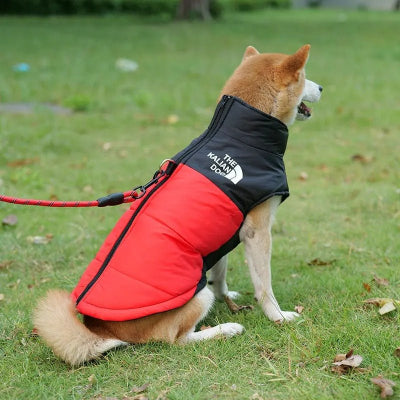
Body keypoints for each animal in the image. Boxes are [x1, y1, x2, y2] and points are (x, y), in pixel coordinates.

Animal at [33, 44, 322, 366]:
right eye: (304, 77)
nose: (322, 88)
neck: (239, 134)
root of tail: (101, 330)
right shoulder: (256, 232)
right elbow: (264, 286)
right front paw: (278, 316)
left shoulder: (223, 233)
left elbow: (219, 272)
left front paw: (227, 296)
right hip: (195, 296)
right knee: (176, 340)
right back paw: (225, 329)